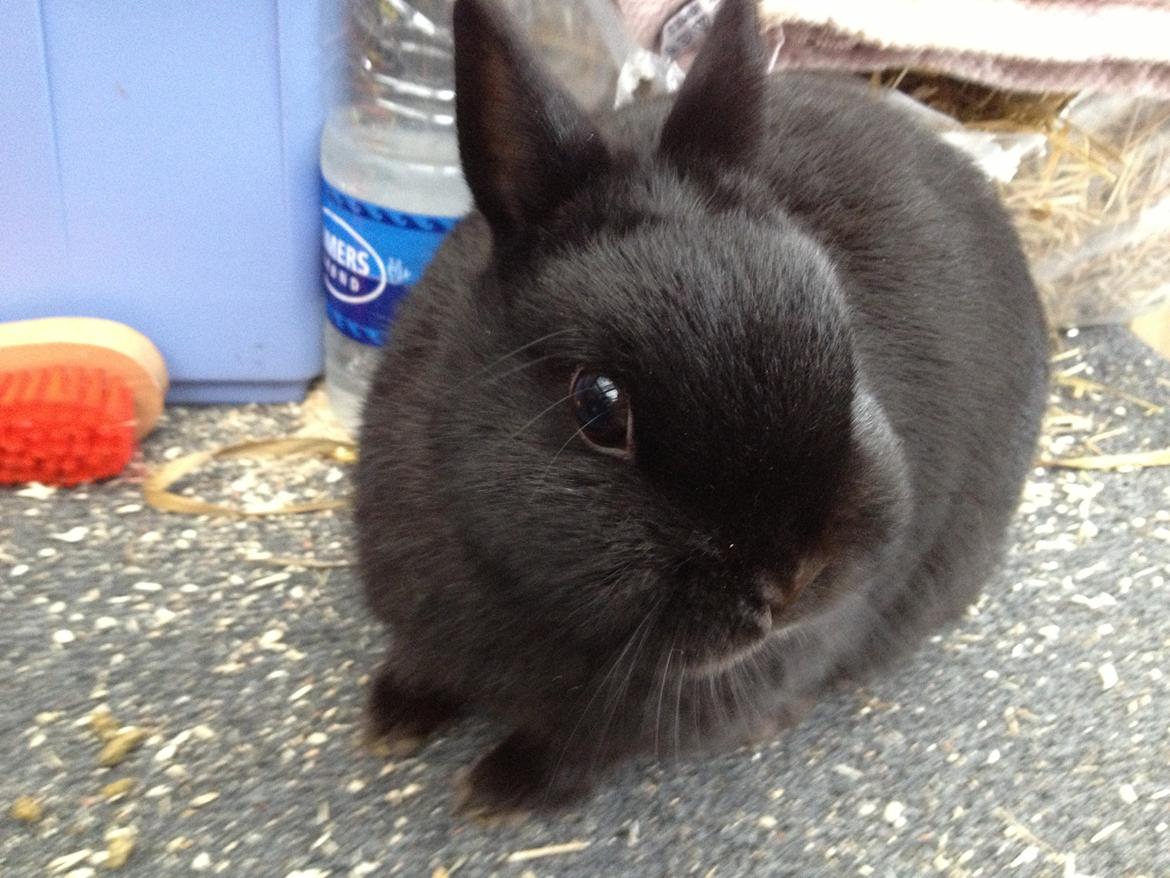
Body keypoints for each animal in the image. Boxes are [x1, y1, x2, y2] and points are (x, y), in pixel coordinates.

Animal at [354, 0, 1049, 815]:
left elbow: (578, 751)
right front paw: (392, 716)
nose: (791, 581)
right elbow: (424, 662)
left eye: (844, 345)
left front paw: (496, 790)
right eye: (599, 407)